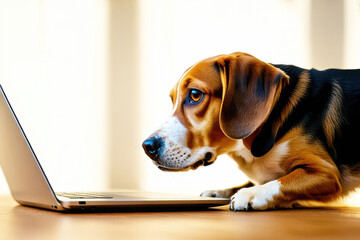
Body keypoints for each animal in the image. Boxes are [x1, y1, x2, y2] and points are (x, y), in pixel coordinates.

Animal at [143, 52, 360, 210]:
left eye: (195, 95)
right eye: (172, 99)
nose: (147, 146)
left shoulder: (326, 172)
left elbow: (280, 182)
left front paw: (251, 194)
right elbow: (250, 181)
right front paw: (221, 191)